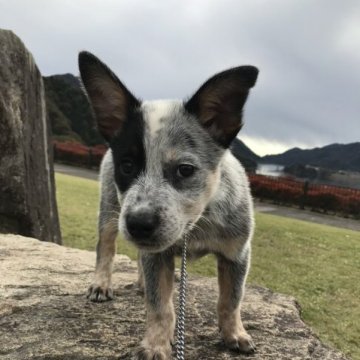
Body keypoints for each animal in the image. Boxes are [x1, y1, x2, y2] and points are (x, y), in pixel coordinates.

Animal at [79, 51, 258, 360]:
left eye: (185, 170)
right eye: (126, 166)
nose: (138, 224)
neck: (194, 227)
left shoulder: (236, 253)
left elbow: (231, 300)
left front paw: (234, 334)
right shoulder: (157, 254)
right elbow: (160, 306)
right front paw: (156, 344)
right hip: (110, 210)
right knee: (107, 247)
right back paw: (102, 283)